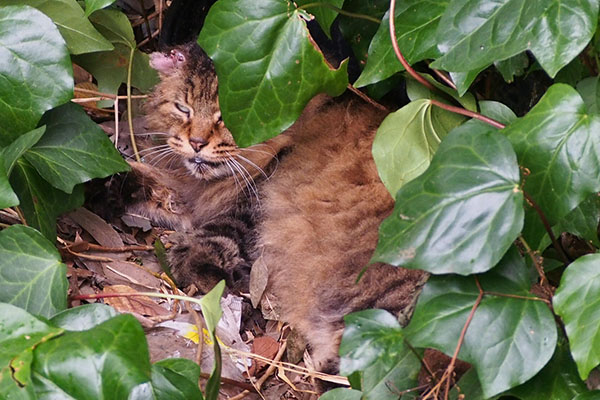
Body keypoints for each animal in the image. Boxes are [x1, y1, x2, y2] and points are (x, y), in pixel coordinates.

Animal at [125, 44, 426, 378]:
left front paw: (193, 264)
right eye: (183, 108)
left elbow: (210, 241)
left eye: (229, 116)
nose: (197, 143)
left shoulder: (249, 205)